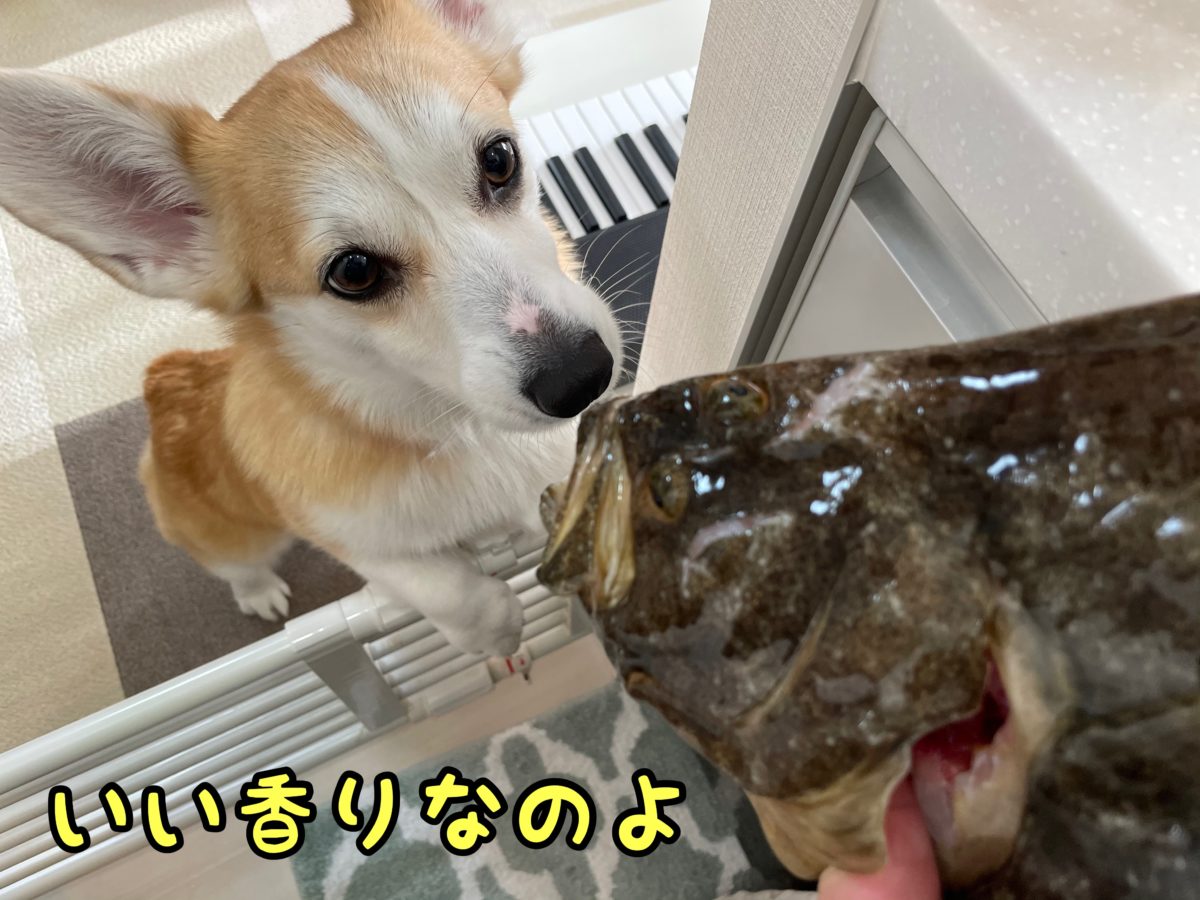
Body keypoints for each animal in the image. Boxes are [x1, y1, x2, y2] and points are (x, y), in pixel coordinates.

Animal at [0, 0, 623, 657]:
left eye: (500, 160)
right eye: (354, 272)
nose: (582, 377)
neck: (462, 427)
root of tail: (173, 383)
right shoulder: (350, 538)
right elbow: (443, 585)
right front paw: (496, 632)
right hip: (225, 534)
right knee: (236, 565)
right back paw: (259, 594)